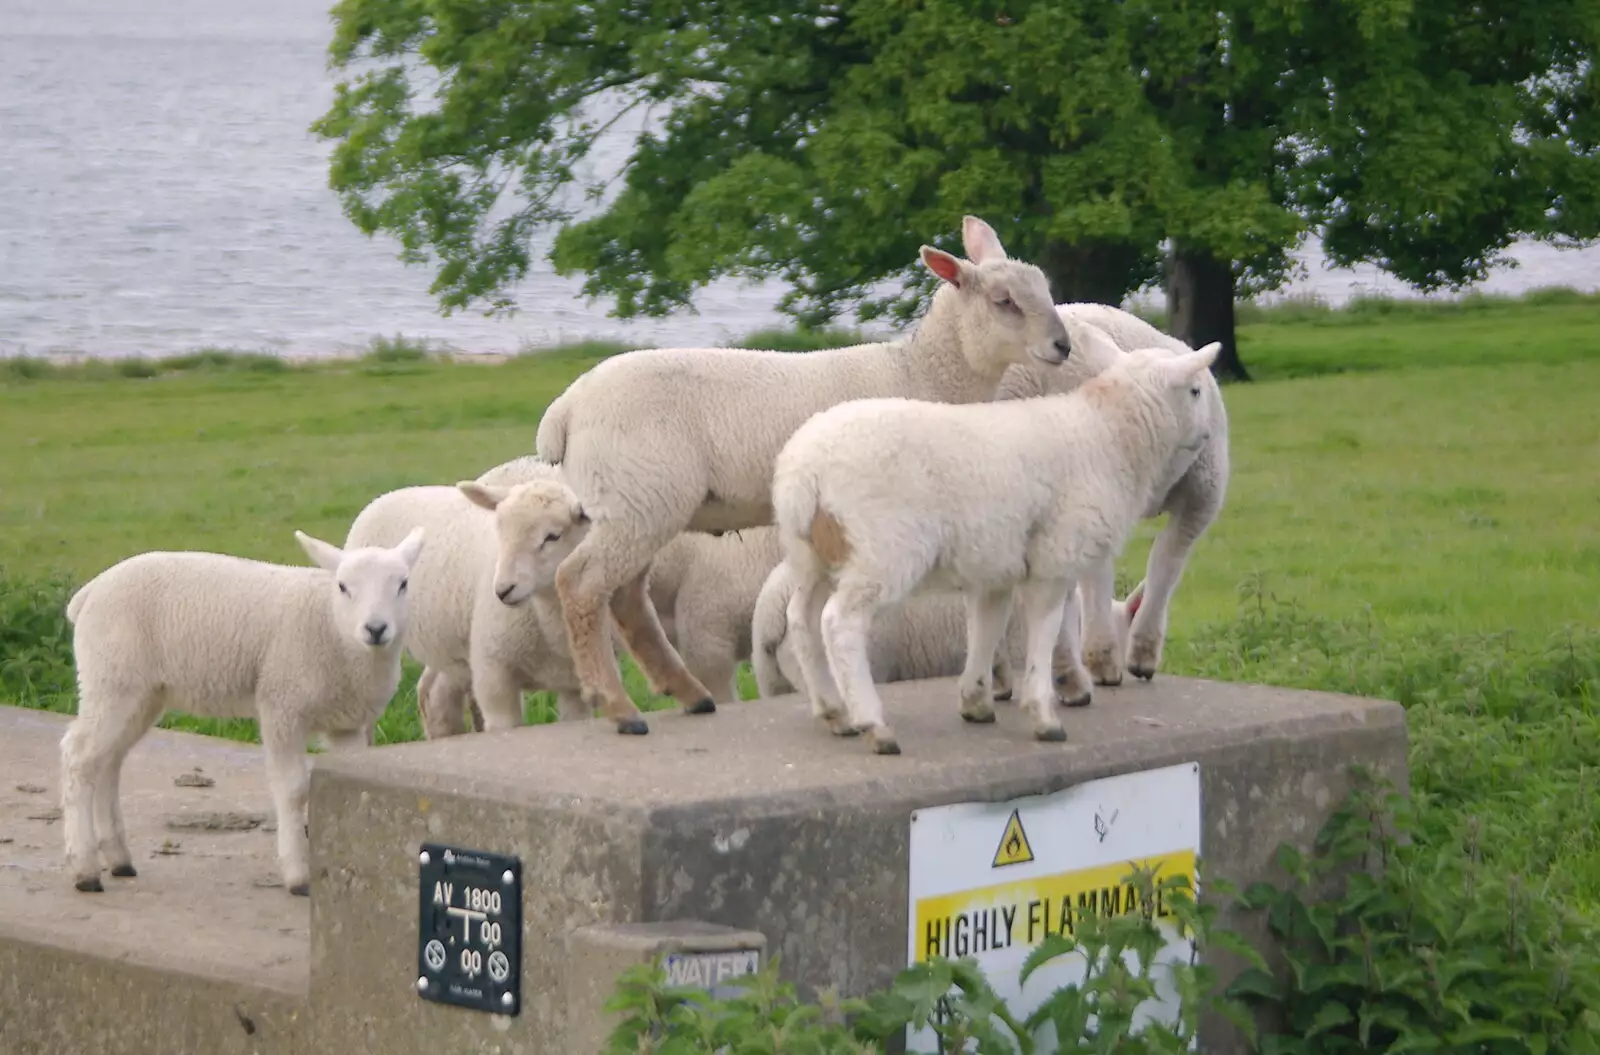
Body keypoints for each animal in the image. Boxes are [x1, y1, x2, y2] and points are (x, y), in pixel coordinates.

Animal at [60, 531, 425, 896]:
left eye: (404, 584)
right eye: (343, 586)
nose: (375, 629)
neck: (333, 628)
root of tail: (90, 591)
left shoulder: (347, 723)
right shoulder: (281, 706)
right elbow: (293, 791)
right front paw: (298, 876)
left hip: (140, 693)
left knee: (108, 762)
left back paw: (118, 859)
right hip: (112, 679)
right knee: (79, 759)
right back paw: (85, 869)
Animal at [347, 470, 598, 742]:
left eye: (552, 536)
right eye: (500, 532)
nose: (502, 590)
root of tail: (384, 497)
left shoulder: (575, 686)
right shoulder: (494, 675)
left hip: (452, 648)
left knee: (434, 695)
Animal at [534, 216, 1075, 733]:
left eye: (1045, 289)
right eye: (1004, 301)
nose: (1062, 346)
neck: (922, 372)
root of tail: (566, 408)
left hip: (639, 503)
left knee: (627, 597)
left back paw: (688, 695)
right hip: (640, 499)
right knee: (582, 585)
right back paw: (620, 708)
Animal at [768, 326, 1216, 755]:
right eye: (1195, 390)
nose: (1208, 437)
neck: (1109, 433)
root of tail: (804, 471)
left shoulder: (996, 565)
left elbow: (986, 627)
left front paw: (976, 701)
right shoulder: (1055, 557)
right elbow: (1045, 632)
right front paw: (1043, 715)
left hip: (813, 554)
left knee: (801, 619)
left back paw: (833, 711)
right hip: (882, 549)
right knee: (839, 623)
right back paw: (873, 724)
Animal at [992, 300, 1228, 694]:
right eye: (1194, 393)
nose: (1206, 434)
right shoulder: (1202, 495)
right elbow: (1164, 567)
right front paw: (1132, 655)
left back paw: (1001, 674)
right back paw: (1072, 672)